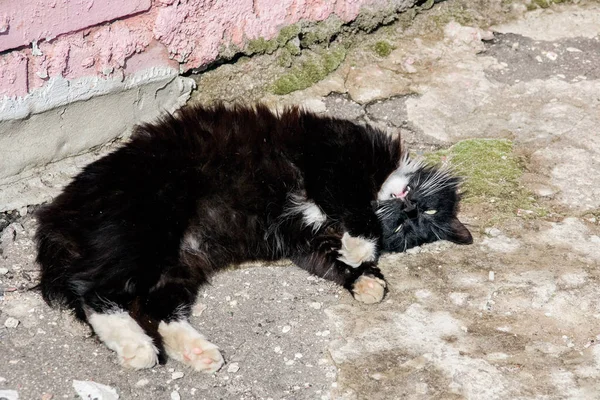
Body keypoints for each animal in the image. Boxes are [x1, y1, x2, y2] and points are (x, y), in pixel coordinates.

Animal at [35, 102, 474, 372]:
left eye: (411, 224)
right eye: (419, 210)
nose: (406, 207)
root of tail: (58, 211)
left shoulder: (304, 240)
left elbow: (333, 258)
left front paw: (366, 280)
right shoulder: (333, 156)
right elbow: (355, 211)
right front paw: (360, 251)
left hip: (179, 261)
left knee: (157, 307)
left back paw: (197, 352)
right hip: (144, 229)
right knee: (92, 290)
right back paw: (138, 349)